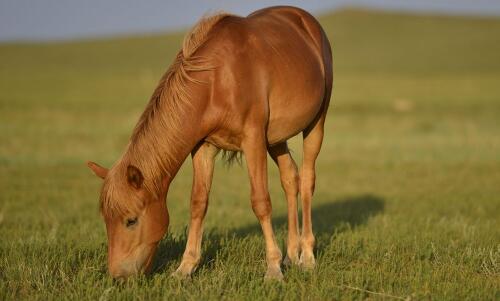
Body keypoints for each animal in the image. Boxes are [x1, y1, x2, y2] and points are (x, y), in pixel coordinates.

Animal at [88, 5, 334, 280]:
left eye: (131, 220)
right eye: (106, 220)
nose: (118, 275)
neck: (218, 79)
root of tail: (305, 20)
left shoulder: (253, 140)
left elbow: (260, 201)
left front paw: (272, 268)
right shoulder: (203, 148)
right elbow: (198, 203)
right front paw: (185, 268)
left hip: (315, 124)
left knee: (308, 179)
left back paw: (307, 256)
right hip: (276, 138)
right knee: (291, 178)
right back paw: (291, 255)